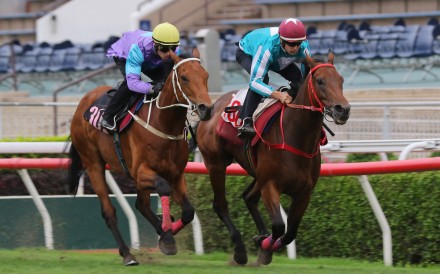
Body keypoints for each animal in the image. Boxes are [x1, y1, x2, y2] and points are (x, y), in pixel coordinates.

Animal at [67, 48, 213, 266]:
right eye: (184, 77)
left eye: (206, 76)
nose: (206, 108)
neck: (164, 124)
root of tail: (82, 104)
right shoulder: (140, 171)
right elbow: (163, 188)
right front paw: (166, 235)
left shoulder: (176, 174)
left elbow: (188, 211)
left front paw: (166, 233)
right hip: (93, 164)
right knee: (109, 211)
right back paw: (128, 254)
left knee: (141, 204)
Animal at [192, 51, 350, 266]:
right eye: (320, 81)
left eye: (341, 80)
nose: (343, 109)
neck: (295, 137)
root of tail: (212, 107)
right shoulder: (270, 184)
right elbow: (279, 226)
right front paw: (264, 247)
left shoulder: (304, 192)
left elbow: (290, 232)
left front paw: (264, 244)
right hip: (215, 164)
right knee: (220, 205)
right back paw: (239, 251)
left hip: (255, 172)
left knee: (248, 197)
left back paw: (259, 236)